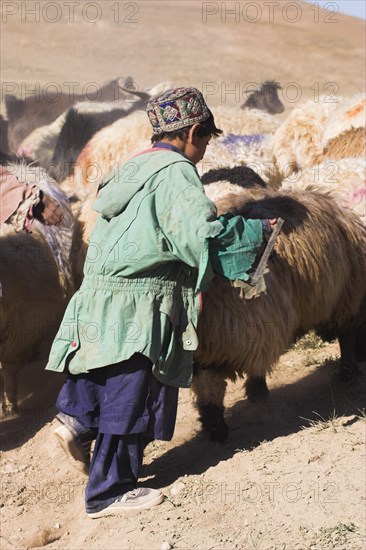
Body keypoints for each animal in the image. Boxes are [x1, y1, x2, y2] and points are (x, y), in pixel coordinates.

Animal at [193, 185, 364, 444]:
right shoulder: (210, 352)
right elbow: (209, 388)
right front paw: (216, 426)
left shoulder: (253, 332)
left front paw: (256, 393)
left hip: (345, 295)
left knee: (347, 334)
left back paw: (348, 372)